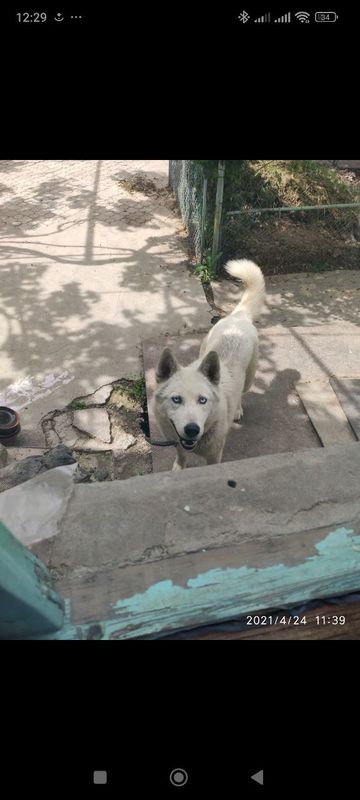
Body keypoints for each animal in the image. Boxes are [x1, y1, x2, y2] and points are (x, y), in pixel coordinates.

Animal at [153, 260, 266, 468]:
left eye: (202, 400)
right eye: (176, 399)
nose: (192, 429)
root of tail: (238, 316)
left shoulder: (214, 456)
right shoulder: (177, 443)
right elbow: (180, 455)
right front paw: (179, 467)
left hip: (249, 378)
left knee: (242, 392)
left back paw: (238, 409)